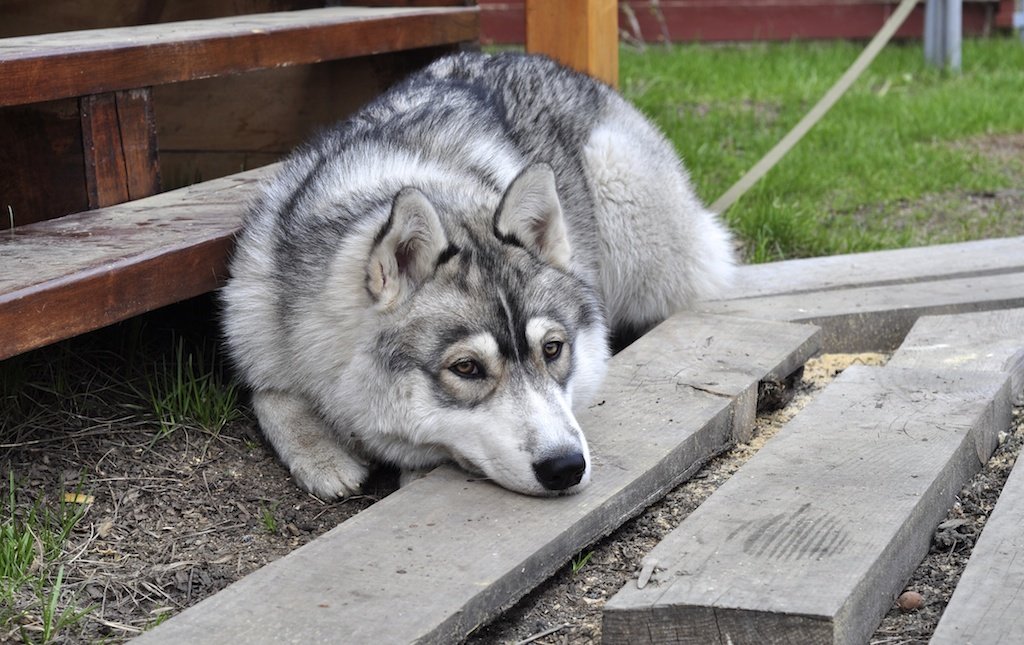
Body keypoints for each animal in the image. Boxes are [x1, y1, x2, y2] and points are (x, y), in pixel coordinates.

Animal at [222, 52, 737, 503]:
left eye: (553, 349)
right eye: (467, 368)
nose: (566, 466)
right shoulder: (259, 326)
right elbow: (269, 396)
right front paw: (322, 457)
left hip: (624, 202)